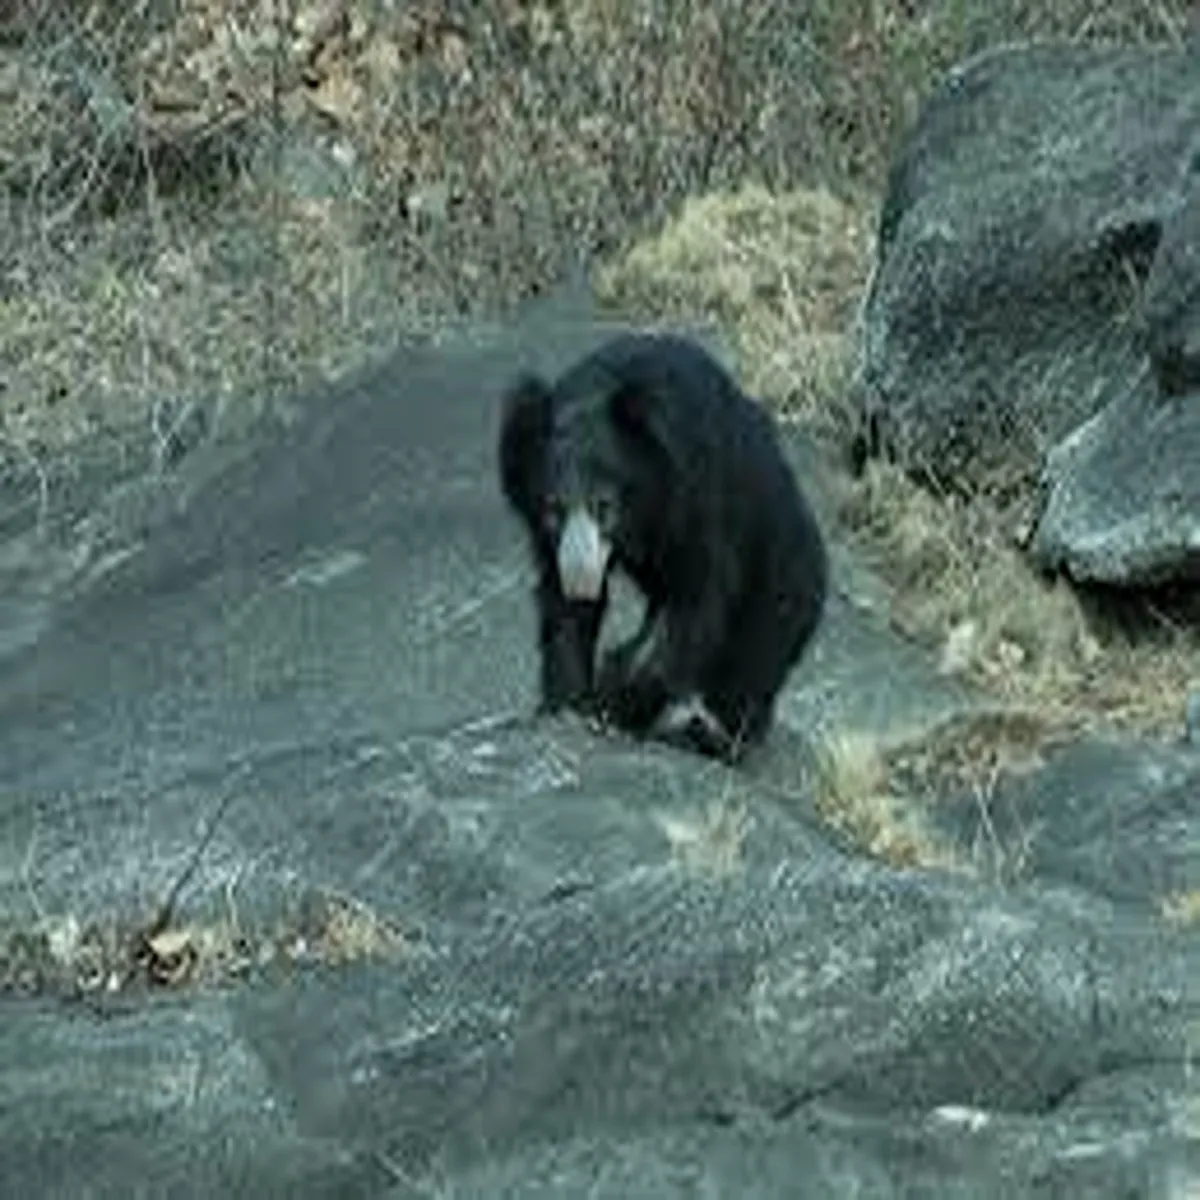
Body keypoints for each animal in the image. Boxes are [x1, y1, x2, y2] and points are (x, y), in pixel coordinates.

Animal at [497, 331, 827, 763]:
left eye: (604, 506)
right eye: (553, 509)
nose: (581, 578)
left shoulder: (698, 493)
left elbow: (695, 604)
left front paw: (613, 700)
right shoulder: (550, 538)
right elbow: (563, 608)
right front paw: (568, 702)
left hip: (777, 566)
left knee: (752, 655)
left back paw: (716, 733)